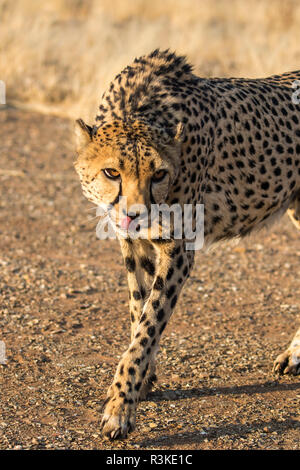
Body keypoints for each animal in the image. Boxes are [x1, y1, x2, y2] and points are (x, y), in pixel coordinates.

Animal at [74, 49, 300, 438]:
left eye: (159, 174)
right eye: (111, 172)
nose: (136, 214)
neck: (141, 107)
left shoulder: (178, 250)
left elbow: (148, 325)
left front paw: (120, 407)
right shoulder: (133, 244)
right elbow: (138, 309)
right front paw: (143, 382)